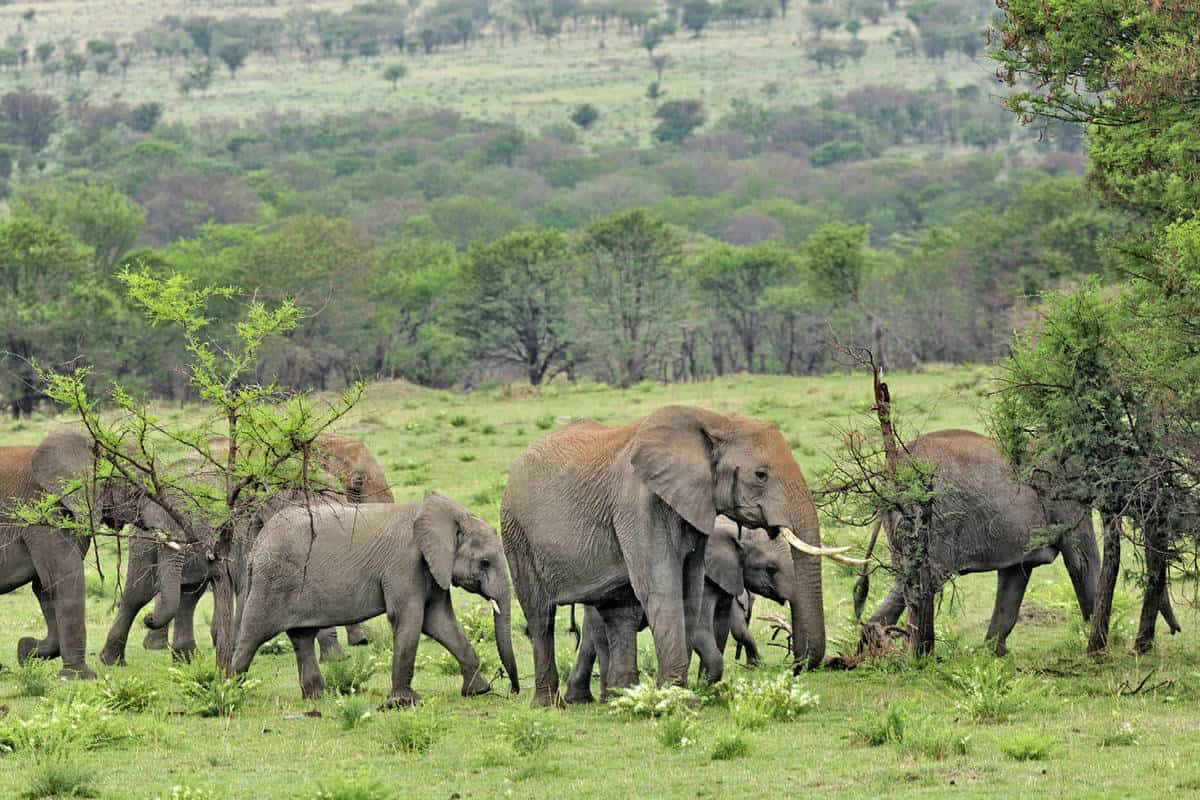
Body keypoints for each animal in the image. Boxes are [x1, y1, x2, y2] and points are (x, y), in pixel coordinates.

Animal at [1, 429, 145, 681]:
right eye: (134, 487)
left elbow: (45, 586)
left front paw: (26, 651)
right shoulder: (44, 511)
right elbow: (65, 578)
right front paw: (81, 677)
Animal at [231, 491, 518, 705]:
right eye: (484, 562)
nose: (514, 691)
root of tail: (257, 545)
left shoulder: (433, 567)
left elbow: (440, 622)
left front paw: (477, 692)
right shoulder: (404, 564)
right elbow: (410, 619)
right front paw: (404, 703)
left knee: (302, 638)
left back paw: (318, 697)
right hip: (270, 583)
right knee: (253, 635)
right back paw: (230, 692)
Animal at [566, 520, 801, 700]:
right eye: (770, 569)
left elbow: (721, 629)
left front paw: (707, 688)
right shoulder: (705, 578)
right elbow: (702, 628)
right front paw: (703, 688)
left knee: (590, 639)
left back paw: (580, 698)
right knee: (601, 636)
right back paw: (608, 698)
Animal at [864, 429, 1099, 652]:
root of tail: (892, 471)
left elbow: (1015, 576)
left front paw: (994, 652)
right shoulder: (1064, 494)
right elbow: (1082, 563)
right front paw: (1095, 636)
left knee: (904, 581)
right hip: (929, 517)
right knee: (924, 581)